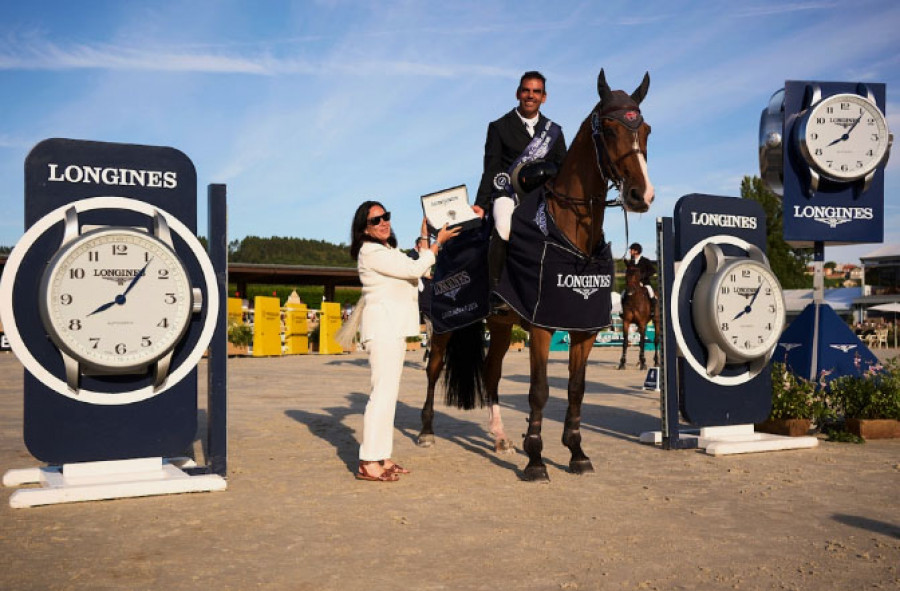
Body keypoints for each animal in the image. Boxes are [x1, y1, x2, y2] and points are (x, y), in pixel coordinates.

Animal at [414, 69, 652, 480]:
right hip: (444, 324)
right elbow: (539, 390)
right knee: (434, 368)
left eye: (647, 130)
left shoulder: (584, 328)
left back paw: (500, 439)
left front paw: (576, 452)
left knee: (491, 373)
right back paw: (427, 432)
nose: (641, 195)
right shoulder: (541, 324)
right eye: (608, 129)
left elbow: (575, 388)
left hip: (500, 324)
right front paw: (536, 459)